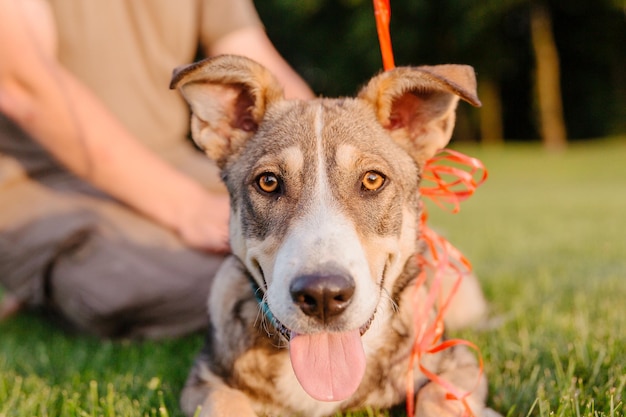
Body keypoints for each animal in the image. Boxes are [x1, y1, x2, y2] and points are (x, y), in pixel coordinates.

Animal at [169, 56, 492, 416]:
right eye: (268, 182)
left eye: (372, 180)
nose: (323, 295)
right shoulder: (204, 380)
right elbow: (226, 402)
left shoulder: (459, 365)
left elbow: (437, 398)